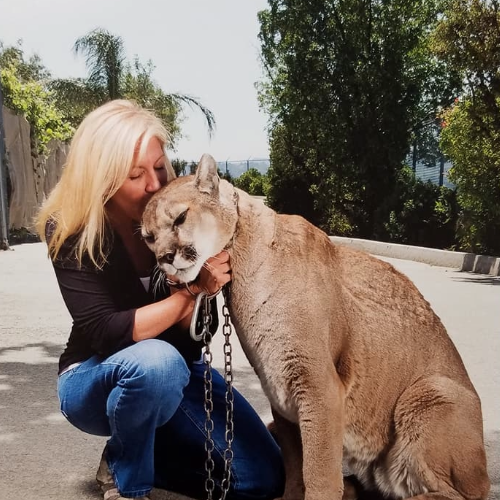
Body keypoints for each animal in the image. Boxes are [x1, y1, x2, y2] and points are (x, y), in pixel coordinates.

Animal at [141, 154, 488, 498]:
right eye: (148, 237)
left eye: (180, 218)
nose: (165, 257)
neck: (241, 254)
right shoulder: (279, 392)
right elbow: (296, 466)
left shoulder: (319, 386)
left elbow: (319, 472)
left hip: (430, 392)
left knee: (454, 493)